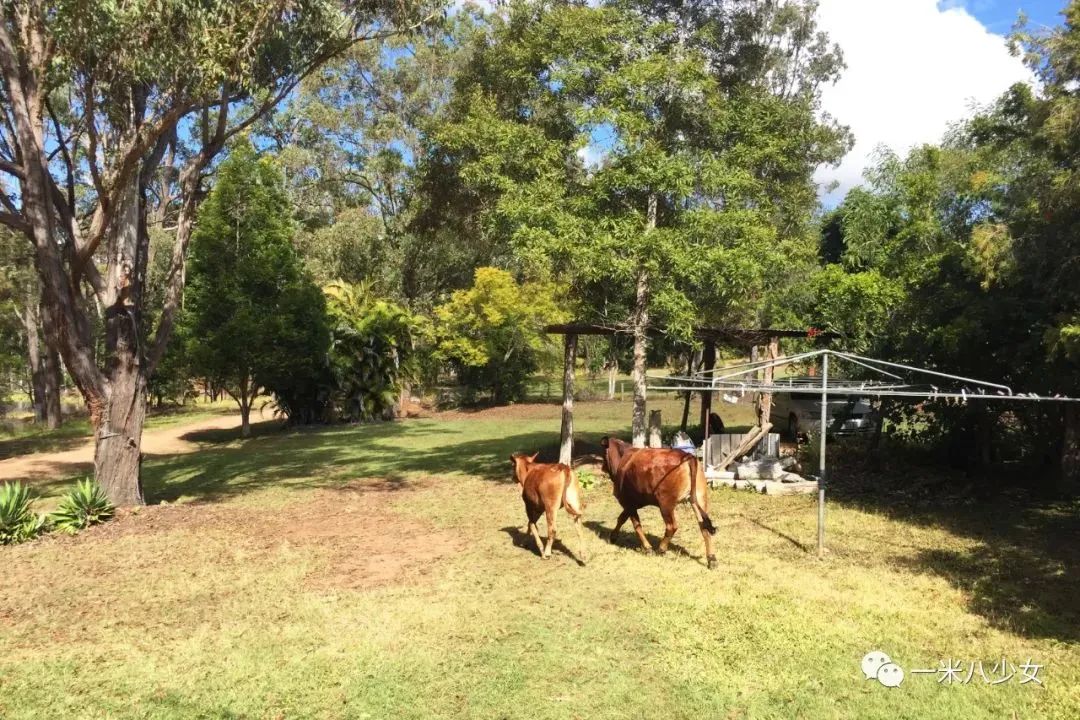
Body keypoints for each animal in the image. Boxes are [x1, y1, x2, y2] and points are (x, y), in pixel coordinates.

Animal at [600, 436, 717, 569]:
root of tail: (687, 456)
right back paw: (712, 558)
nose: (602, 467)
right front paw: (613, 536)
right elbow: (621, 518)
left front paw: (647, 548)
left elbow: (636, 525)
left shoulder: (628, 502)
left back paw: (661, 549)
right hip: (699, 499)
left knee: (672, 526)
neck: (623, 458)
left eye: (603, 453)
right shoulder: (631, 504)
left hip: (665, 504)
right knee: (704, 527)